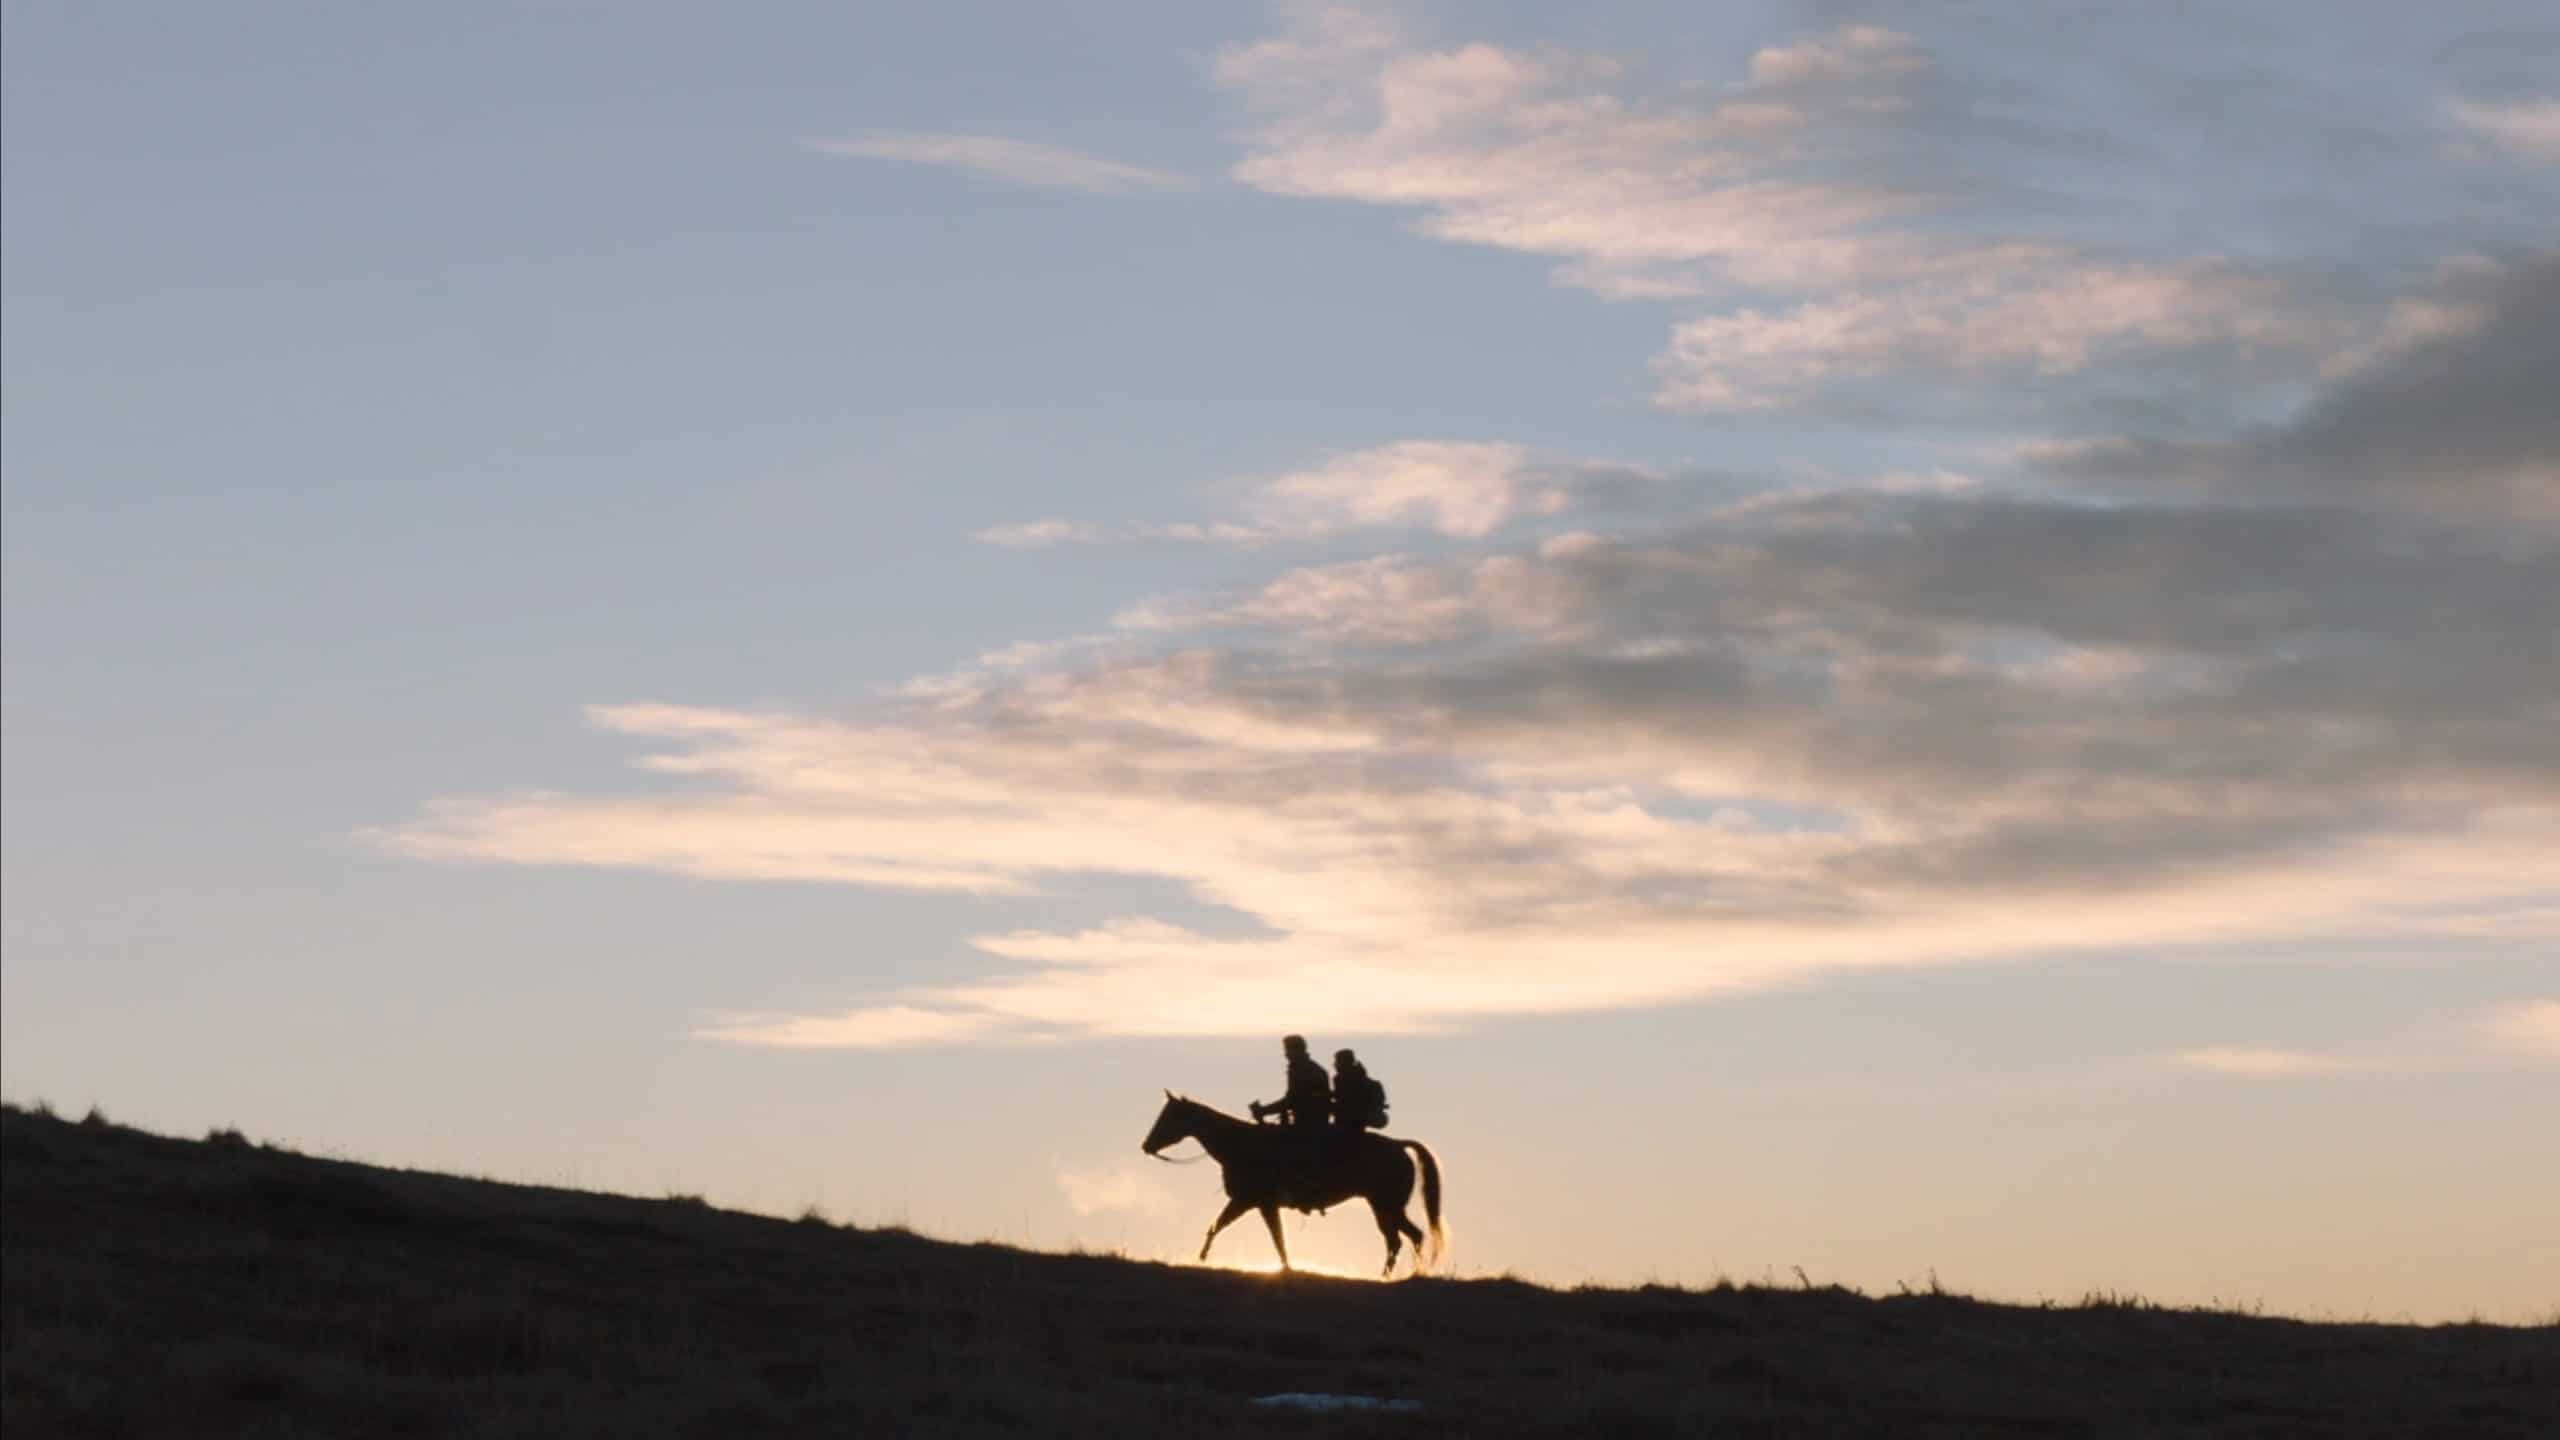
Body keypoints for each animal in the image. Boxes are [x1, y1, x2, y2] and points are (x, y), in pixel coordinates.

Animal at [1141, 1081, 1443, 1270]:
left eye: (1169, 1116)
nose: (1146, 1146)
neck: (1241, 1144)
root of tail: (1399, 1145)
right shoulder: (1247, 1203)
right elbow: (1217, 1227)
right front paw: (1201, 1258)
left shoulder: (1258, 1203)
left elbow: (1276, 1238)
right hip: (1384, 1207)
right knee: (1403, 1239)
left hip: (1386, 1205)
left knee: (1404, 1238)